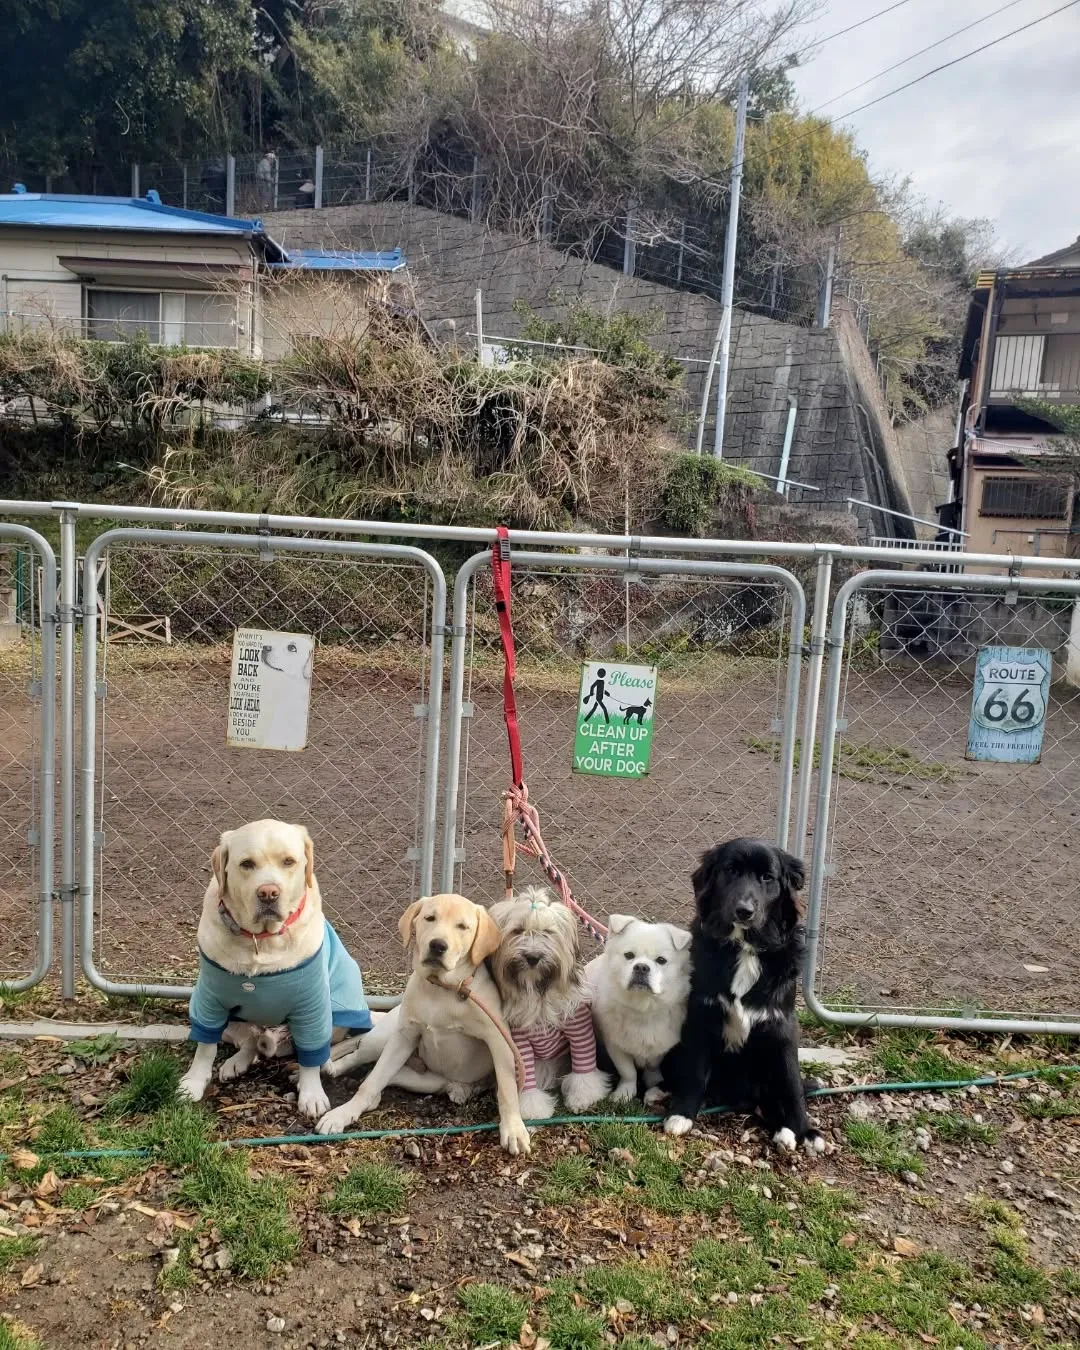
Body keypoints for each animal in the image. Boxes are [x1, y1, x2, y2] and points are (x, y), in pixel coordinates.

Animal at [311, 896, 531, 1150]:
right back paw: (334, 1073)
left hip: (429, 1080)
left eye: (462, 927)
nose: (438, 945)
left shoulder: (499, 1042)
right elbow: (371, 1082)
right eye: (430, 918)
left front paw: (513, 1128)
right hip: (386, 1039)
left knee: (386, 1076)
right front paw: (343, 1114)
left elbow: (507, 1089)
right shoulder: (404, 1037)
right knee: (362, 1060)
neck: (442, 990)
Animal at [486, 885, 612, 1117]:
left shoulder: (579, 1030)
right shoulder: (519, 1042)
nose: (532, 957)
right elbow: (525, 1078)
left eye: (547, 932)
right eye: (518, 931)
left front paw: (582, 1098)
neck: (539, 995)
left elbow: (584, 1069)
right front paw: (532, 1108)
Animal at [583, 912, 691, 1101]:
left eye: (661, 960)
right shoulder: (616, 1045)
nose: (641, 967)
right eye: (629, 955)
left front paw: (653, 1081)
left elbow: (653, 1065)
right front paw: (624, 1094)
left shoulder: (661, 1044)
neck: (643, 1008)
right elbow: (628, 1072)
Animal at [658, 837, 826, 1155]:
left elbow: (792, 1084)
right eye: (731, 871)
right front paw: (682, 1114)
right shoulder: (701, 1017)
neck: (746, 949)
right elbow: (694, 1072)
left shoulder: (782, 1027)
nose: (744, 910)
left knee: (774, 1095)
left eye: (767, 878)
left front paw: (804, 1130)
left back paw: (786, 1130)